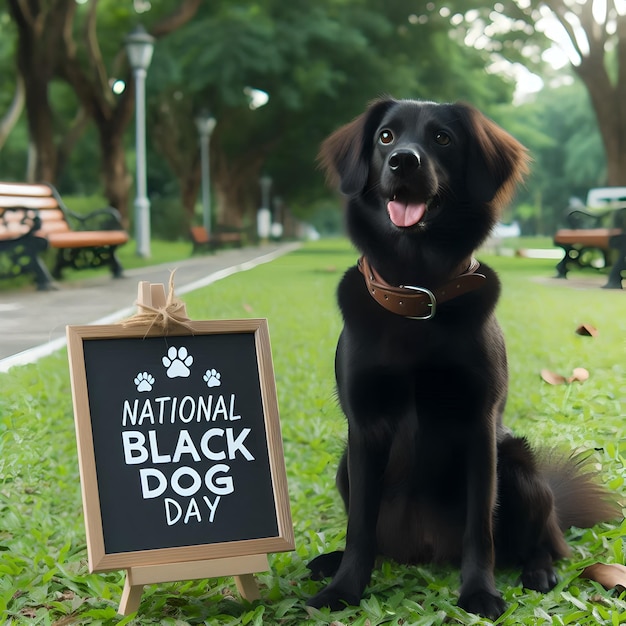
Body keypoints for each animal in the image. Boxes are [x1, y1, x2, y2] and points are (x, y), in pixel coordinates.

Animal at [308, 100, 616, 616]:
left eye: (443, 139)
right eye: (386, 137)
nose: (403, 162)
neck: (417, 288)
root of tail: (427, 552)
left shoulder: (479, 424)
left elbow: (480, 528)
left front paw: (479, 592)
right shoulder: (365, 430)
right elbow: (359, 530)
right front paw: (343, 589)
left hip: (517, 464)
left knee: (543, 541)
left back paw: (539, 570)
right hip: (345, 466)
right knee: (378, 539)